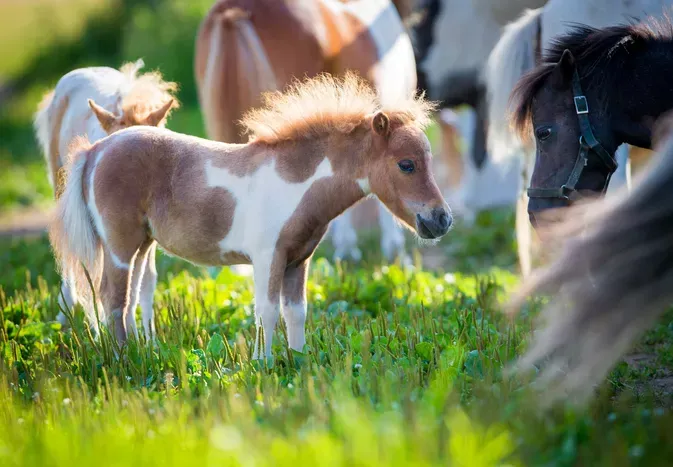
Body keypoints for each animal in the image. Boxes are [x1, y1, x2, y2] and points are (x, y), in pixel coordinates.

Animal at [48, 73, 452, 358]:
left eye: (429, 160)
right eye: (406, 164)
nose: (441, 220)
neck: (295, 182)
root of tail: (97, 149)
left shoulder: (298, 260)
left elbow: (296, 311)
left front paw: (298, 362)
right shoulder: (268, 256)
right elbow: (267, 311)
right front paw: (264, 364)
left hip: (144, 245)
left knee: (131, 298)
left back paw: (142, 353)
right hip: (118, 245)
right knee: (111, 298)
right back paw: (124, 361)